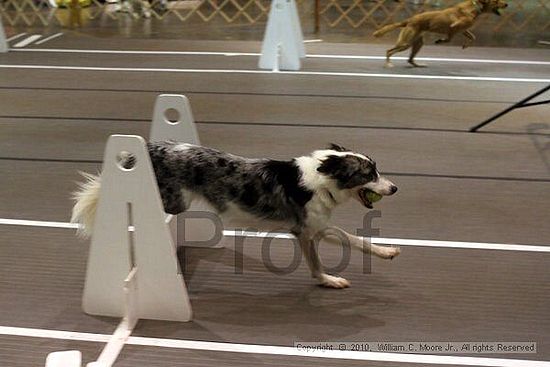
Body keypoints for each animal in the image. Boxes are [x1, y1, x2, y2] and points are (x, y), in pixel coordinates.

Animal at [376, 0, 508, 67]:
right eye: (497, 1)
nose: (506, 4)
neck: (475, 8)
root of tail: (409, 20)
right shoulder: (453, 28)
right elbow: (452, 32)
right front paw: (441, 40)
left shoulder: (462, 31)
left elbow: (472, 37)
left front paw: (465, 45)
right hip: (405, 43)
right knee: (389, 51)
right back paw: (388, 64)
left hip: (417, 43)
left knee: (410, 59)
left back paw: (418, 65)